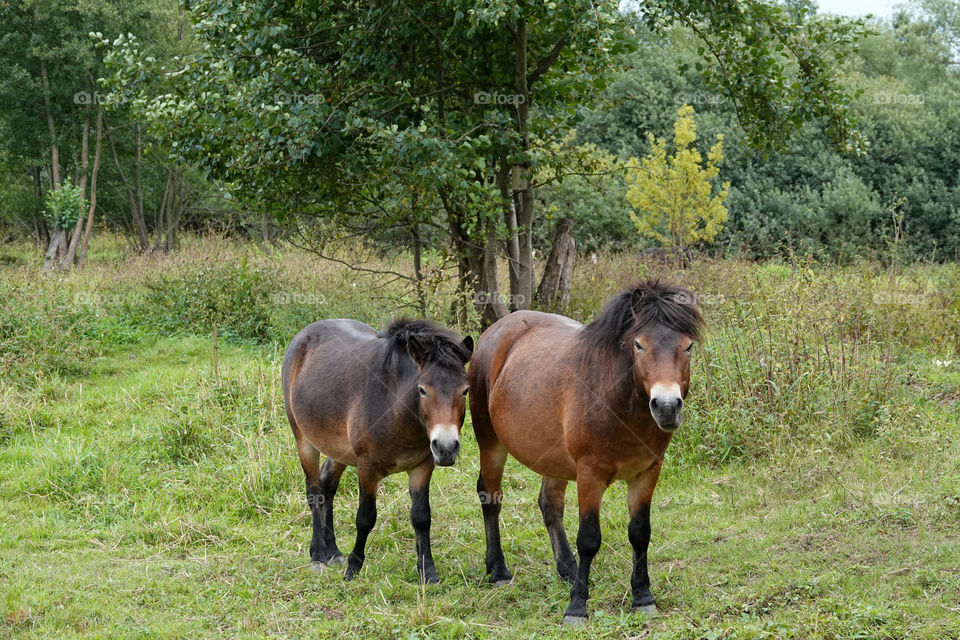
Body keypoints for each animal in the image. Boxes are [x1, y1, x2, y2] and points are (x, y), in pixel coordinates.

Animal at [284, 318, 474, 584]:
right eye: (423, 390)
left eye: (465, 390)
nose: (446, 447)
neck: (395, 406)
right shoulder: (367, 469)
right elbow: (365, 518)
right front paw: (353, 567)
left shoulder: (422, 467)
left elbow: (422, 517)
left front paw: (428, 571)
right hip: (304, 441)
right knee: (314, 492)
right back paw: (318, 554)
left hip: (338, 449)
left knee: (327, 486)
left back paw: (333, 551)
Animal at [468, 282, 700, 624]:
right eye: (639, 345)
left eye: (687, 346)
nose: (667, 406)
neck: (617, 404)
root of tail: (496, 330)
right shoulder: (590, 474)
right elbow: (589, 538)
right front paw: (577, 606)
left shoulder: (647, 473)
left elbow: (640, 533)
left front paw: (642, 596)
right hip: (490, 442)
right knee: (491, 497)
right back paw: (498, 571)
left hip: (553, 458)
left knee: (550, 505)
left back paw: (568, 569)